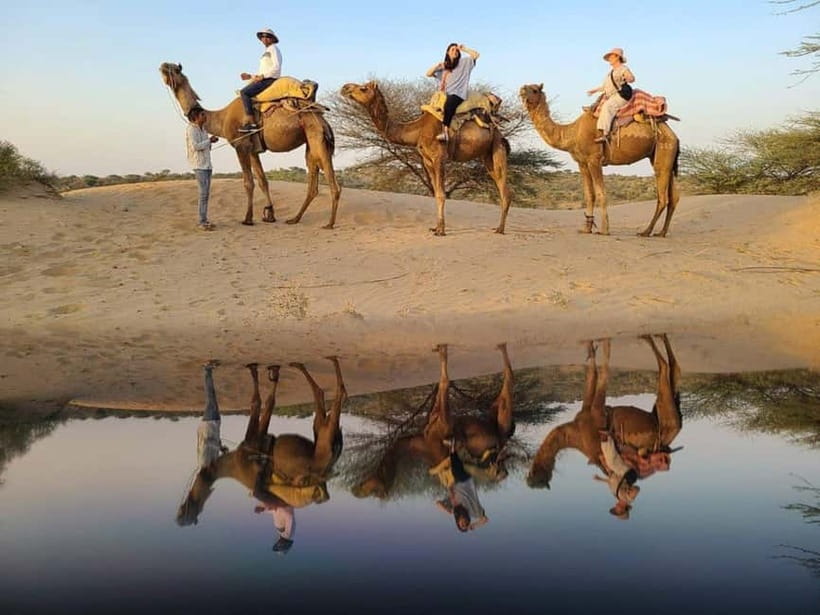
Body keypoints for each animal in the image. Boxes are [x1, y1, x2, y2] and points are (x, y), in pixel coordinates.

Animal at [159, 63, 341, 228]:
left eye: (175, 70)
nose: (162, 66)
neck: (221, 118)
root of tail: (322, 118)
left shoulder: (241, 146)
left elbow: (248, 182)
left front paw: (248, 218)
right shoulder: (253, 150)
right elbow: (262, 181)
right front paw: (269, 215)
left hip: (317, 139)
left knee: (333, 184)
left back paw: (329, 223)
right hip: (311, 144)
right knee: (313, 185)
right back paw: (294, 219)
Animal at [177, 357, 346, 527]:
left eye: (187, 512)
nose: (179, 516)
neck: (233, 462)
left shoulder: (253, 442)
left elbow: (260, 401)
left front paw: (263, 371)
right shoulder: (256, 446)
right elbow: (266, 401)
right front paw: (268, 372)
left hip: (324, 443)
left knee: (329, 394)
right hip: (324, 439)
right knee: (323, 399)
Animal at [340, 81, 512, 236]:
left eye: (363, 88)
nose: (345, 88)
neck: (417, 131)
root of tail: (498, 130)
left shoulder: (439, 157)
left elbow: (441, 194)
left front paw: (441, 231)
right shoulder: (427, 161)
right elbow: (436, 193)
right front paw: (436, 228)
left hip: (498, 148)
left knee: (505, 191)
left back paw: (500, 229)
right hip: (487, 156)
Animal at [519, 84, 680, 237]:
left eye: (534, 89)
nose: (521, 90)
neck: (572, 132)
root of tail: (674, 135)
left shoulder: (594, 159)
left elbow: (601, 193)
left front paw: (604, 230)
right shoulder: (582, 163)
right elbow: (589, 195)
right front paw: (586, 229)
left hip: (664, 149)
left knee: (663, 196)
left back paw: (646, 232)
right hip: (664, 156)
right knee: (673, 197)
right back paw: (661, 232)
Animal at [528, 335, 681, 489]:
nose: (529, 479)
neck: (575, 432)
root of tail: (665, 445)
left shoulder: (594, 413)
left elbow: (597, 373)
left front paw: (595, 344)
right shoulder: (595, 414)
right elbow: (599, 374)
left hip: (665, 425)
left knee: (668, 368)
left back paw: (651, 336)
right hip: (663, 422)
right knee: (667, 369)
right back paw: (651, 337)